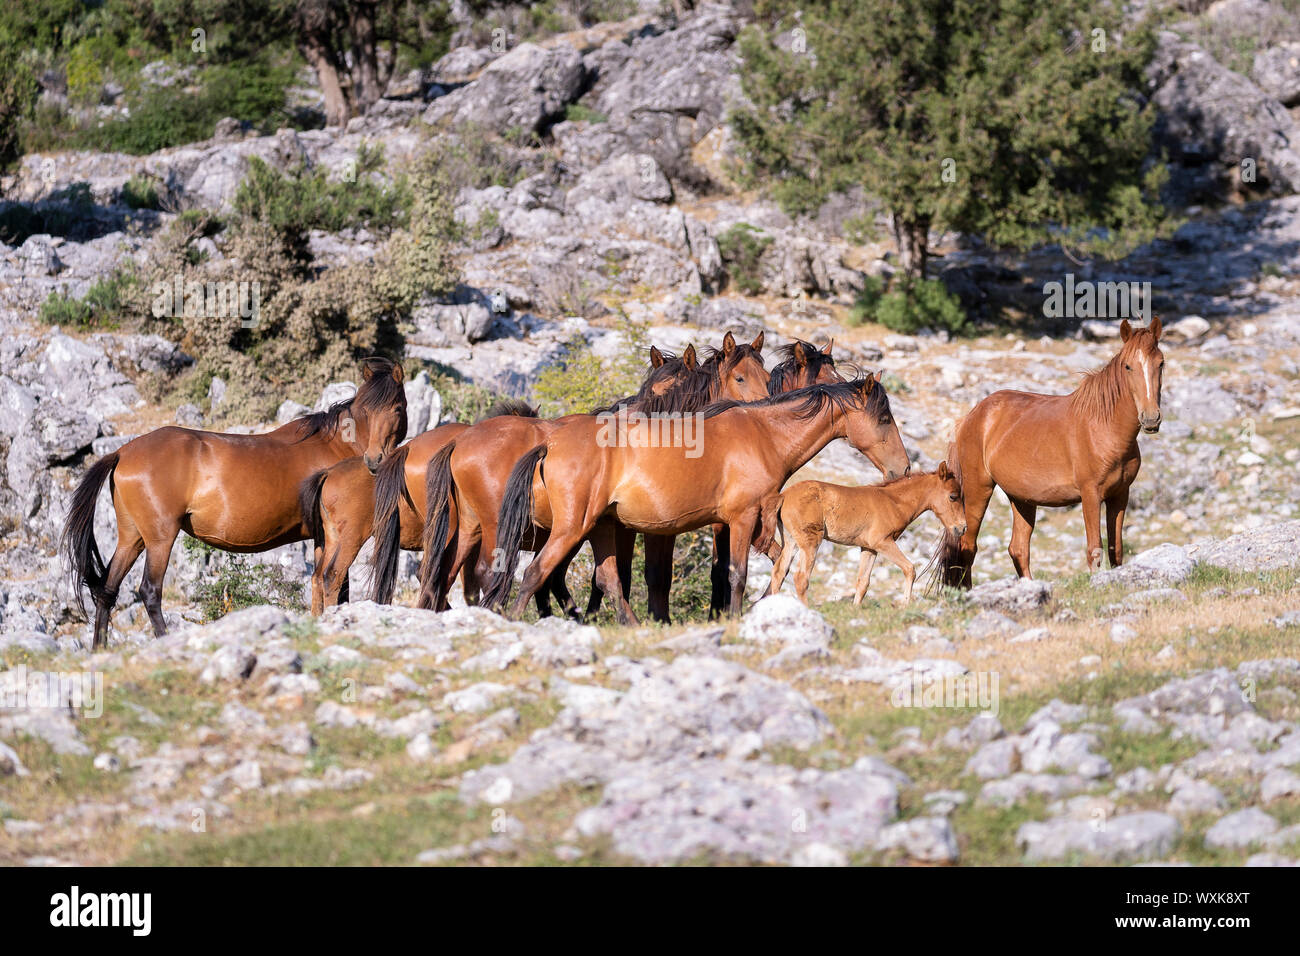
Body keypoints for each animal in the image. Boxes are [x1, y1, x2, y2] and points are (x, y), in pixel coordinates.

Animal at [59, 358, 405, 650]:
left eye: (397, 408)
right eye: (366, 411)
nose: (374, 460)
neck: (335, 446)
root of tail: (123, 452)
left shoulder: (323, 538)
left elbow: (323, 583)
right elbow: (337, 584)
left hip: (132, 537)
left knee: (108, 590)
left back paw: (99, 649)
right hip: (159, 538)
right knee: (150, 591)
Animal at [408, 330, 769, 613]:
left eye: (765, 377)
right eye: (739, 378)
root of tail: (460, 441)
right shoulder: (647, 528)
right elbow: (649, 576)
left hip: (469, 529)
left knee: (441, 575)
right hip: (497, 528)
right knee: (486, 573)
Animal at [483, 374, 909, 629]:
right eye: (884, 418)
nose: (902, 468)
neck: (763, 435)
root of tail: (550, 442)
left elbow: (777, 564)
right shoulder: (742, 519)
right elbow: (737, 572)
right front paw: (735, 618)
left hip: (601, 527)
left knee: (608, 580)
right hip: (573, 528)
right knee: (535, 573)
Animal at [764, 463, 972, 606]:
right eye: (953, 496)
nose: (962, 528)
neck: (893, 502)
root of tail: (784, 496)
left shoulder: (869, 548)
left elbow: (863, 582)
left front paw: (855, 609)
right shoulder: (883, 542)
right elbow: (910, 569)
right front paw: (905, 605)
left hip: (791, 542)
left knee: (778, 573)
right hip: (810, 542)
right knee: (800, 578)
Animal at [935, 317, 1170, 587]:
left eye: (1161, 362)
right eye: (1128, 366)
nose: (1151, 418)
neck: (1104, 428)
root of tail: (971, 416)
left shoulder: (1120, 495)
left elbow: (1116, 550)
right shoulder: (1091, 495)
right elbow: (1095, 549)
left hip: (1021, 498)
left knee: (1018, 549)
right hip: (978, 490)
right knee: (967, 547)